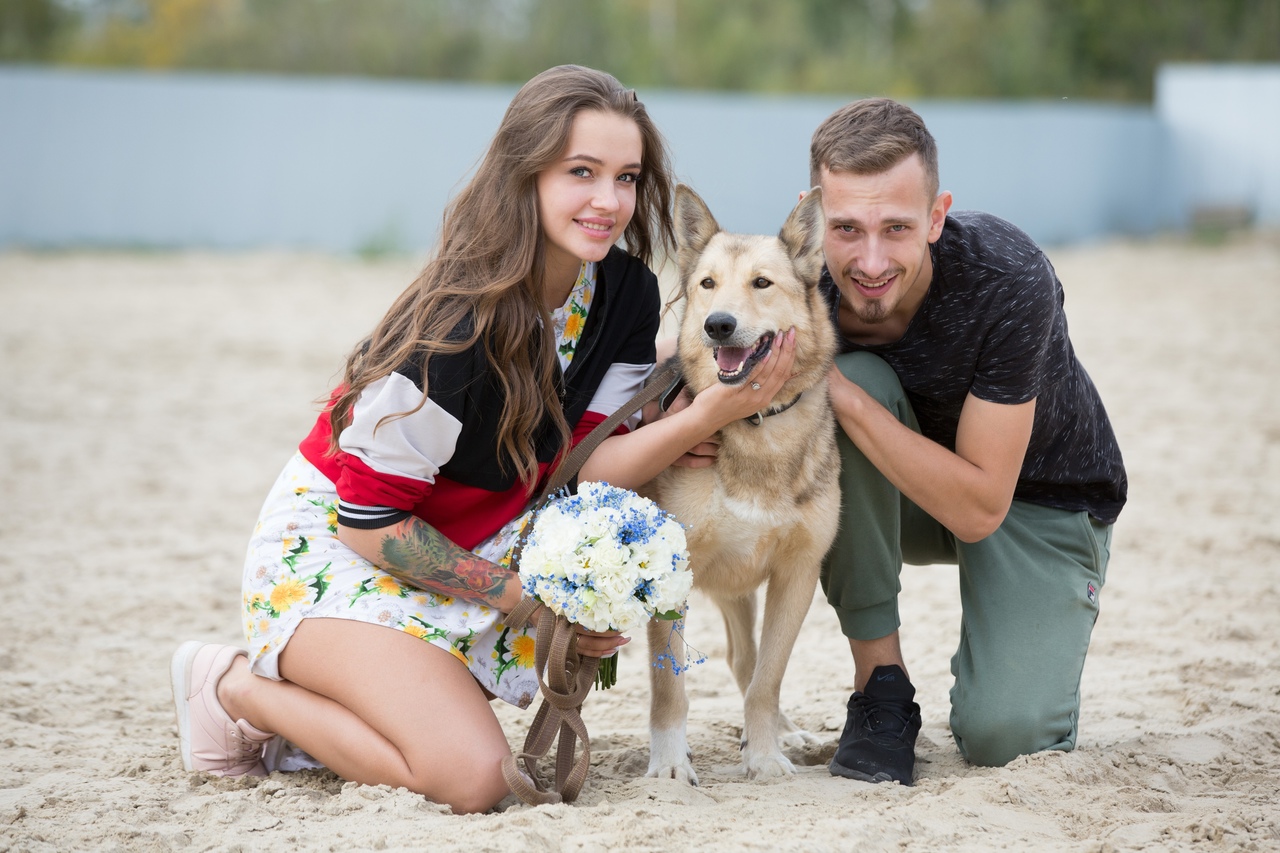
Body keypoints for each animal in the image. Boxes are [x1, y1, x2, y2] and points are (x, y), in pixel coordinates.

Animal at [640, 183, 839, 778]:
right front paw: (669, 765)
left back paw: (784, 734)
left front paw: (768, 755)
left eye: (762, 283)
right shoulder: (668, 574)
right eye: (707, 285)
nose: (718, 325)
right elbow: (668, 686)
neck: (758, 427)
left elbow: (767, 678)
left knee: (746, 660)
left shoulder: (797, 574)